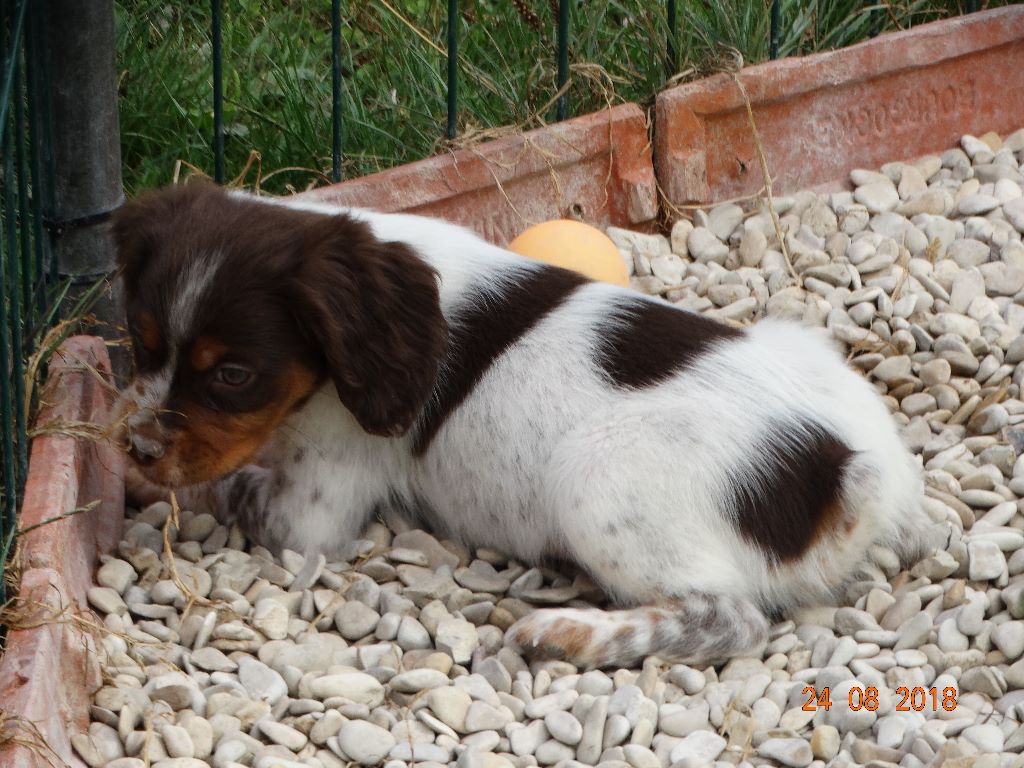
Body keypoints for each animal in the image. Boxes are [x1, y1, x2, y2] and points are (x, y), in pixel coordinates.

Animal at [112, 181, 935, 668]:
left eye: (233, 376)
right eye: (142, 343)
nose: (139, 447)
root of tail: (850, 473)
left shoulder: (309, 507)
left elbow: (219, 487)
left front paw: (139, 483)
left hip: (597, 477)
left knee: (732, 619)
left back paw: (575, 634)